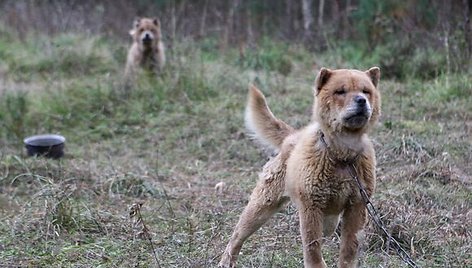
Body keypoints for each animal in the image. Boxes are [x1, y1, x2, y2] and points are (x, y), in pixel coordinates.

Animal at [219, 67, 382, 268]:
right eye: (340, 91)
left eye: (366, 91)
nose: (361, 100)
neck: (342, 157)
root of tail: (292, 137)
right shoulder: (311, 209)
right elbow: (313, 251)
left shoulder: (356, 208)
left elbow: (348, 251)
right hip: (261, 207)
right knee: (237, 235)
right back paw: (226, 261)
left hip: (330, 220)